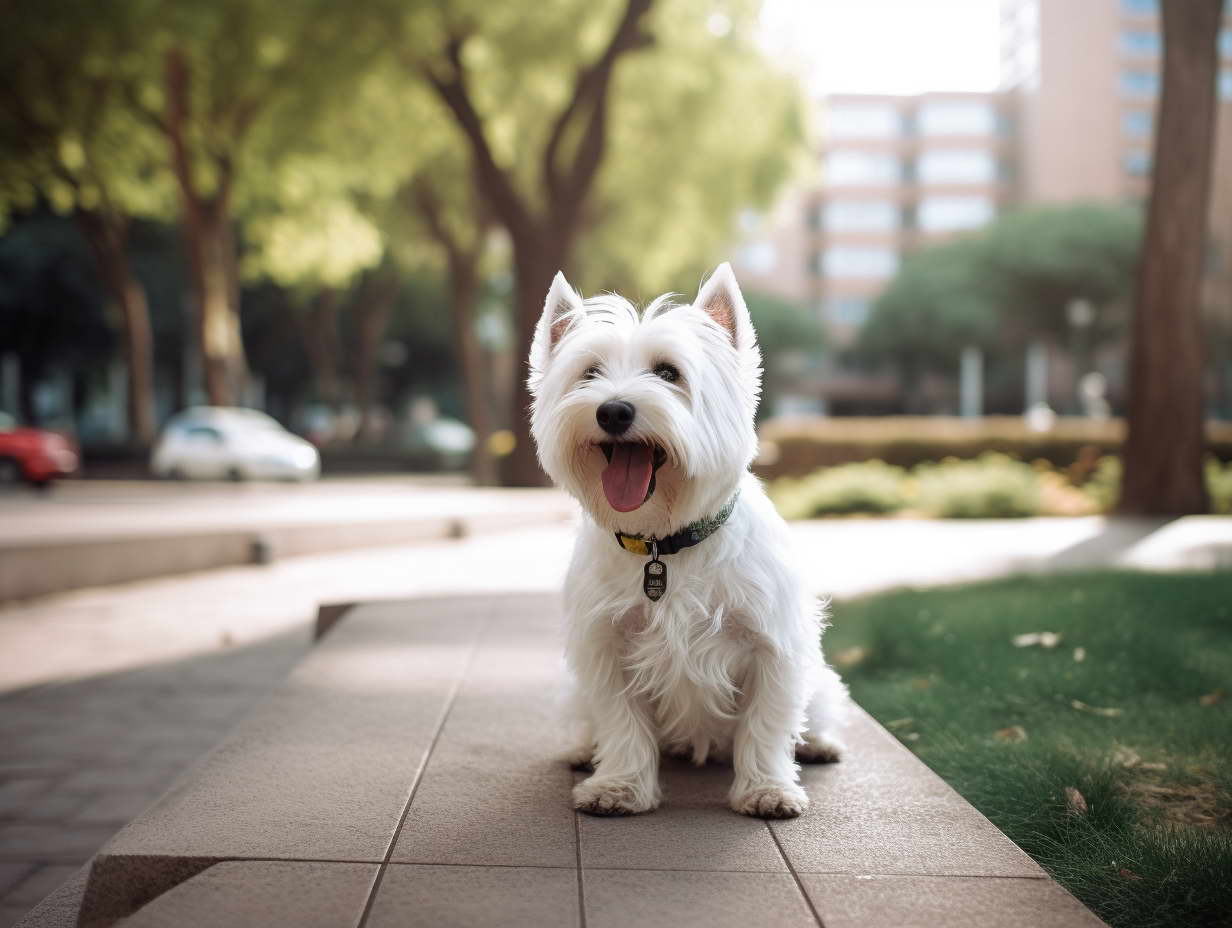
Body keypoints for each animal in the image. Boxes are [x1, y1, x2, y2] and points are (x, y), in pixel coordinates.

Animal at [529, 262, 847, 818]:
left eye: (668, 373)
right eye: (589, 373)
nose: (613, 411)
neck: (664, 542)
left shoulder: (773, 645)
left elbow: (767, 724)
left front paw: (767, 789)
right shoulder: (607, 645)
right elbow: (620, 721)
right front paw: (618, 786)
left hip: (823, 679)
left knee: (817, 711)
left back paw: (819, 745)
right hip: (573, 688)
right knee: (587, 719)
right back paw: (582, 750)